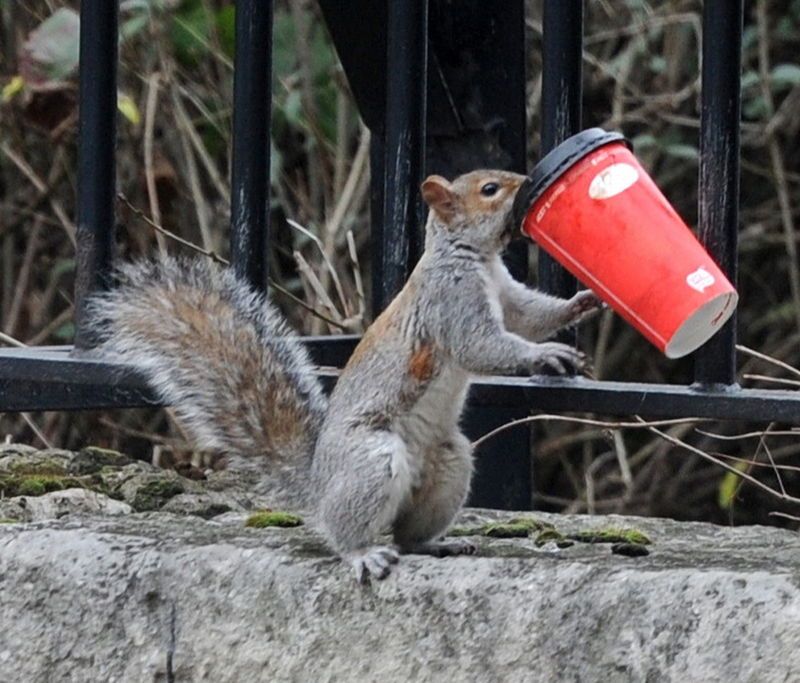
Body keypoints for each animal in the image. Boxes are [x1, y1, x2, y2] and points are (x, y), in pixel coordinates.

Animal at [87, 170, 600, 584]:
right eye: (489, 190)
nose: (527, 184)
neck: (474, 258)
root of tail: (318, 483)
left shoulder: (508, 296)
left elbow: (532, 316)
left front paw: (581, 302)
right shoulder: (450, 303)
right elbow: (483, 345)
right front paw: (543, 356)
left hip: (448, 465)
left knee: (407, 534)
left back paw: (437, 543)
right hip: (371, 460)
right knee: (345, 532)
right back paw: (363, 555)